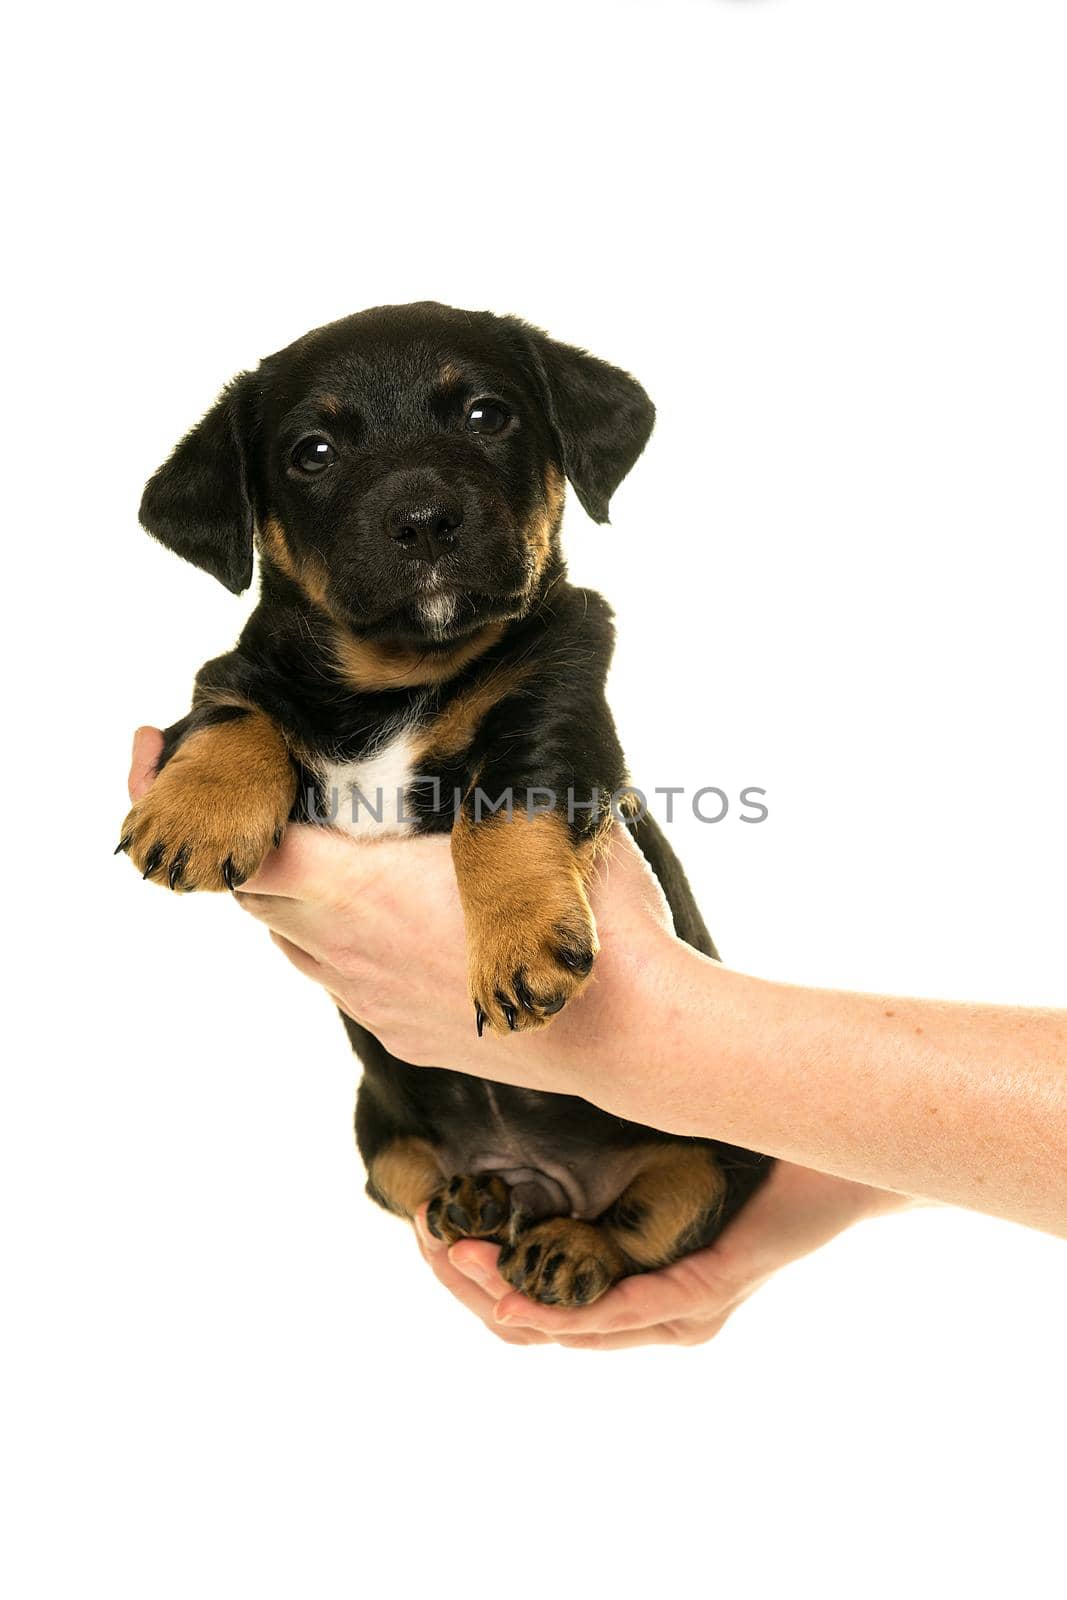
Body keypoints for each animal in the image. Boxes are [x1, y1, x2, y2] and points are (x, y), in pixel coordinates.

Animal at [120, 305, 767, 1305]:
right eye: (311, 452)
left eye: (485, 415)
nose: (423, 520)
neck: (398, 683)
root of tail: (539, 1180)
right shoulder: (241, 670)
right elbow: (236, 712)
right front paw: (192, 812)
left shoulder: (559, 704)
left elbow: (501, 806)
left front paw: (521, 946)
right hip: (374, 1125)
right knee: (411, 1180)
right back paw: (477, 1201)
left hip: (715, 1153)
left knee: (656, 1208)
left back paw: (566, 1247)